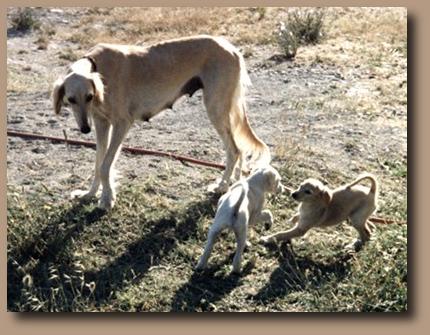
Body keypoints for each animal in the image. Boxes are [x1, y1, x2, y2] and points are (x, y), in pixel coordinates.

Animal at [52, 36, 270, 210]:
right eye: (71, 99)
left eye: (89, 97)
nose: (84, 129)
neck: (97, 66)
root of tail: (232, 48)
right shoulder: (101, 122)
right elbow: (98, 163)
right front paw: (90, 194)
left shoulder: (122, 123)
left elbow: (106, 165)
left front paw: (107, 199)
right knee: (238, 149)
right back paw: (233, 183)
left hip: (215, 108)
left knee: (234, 150)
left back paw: (221, 186)